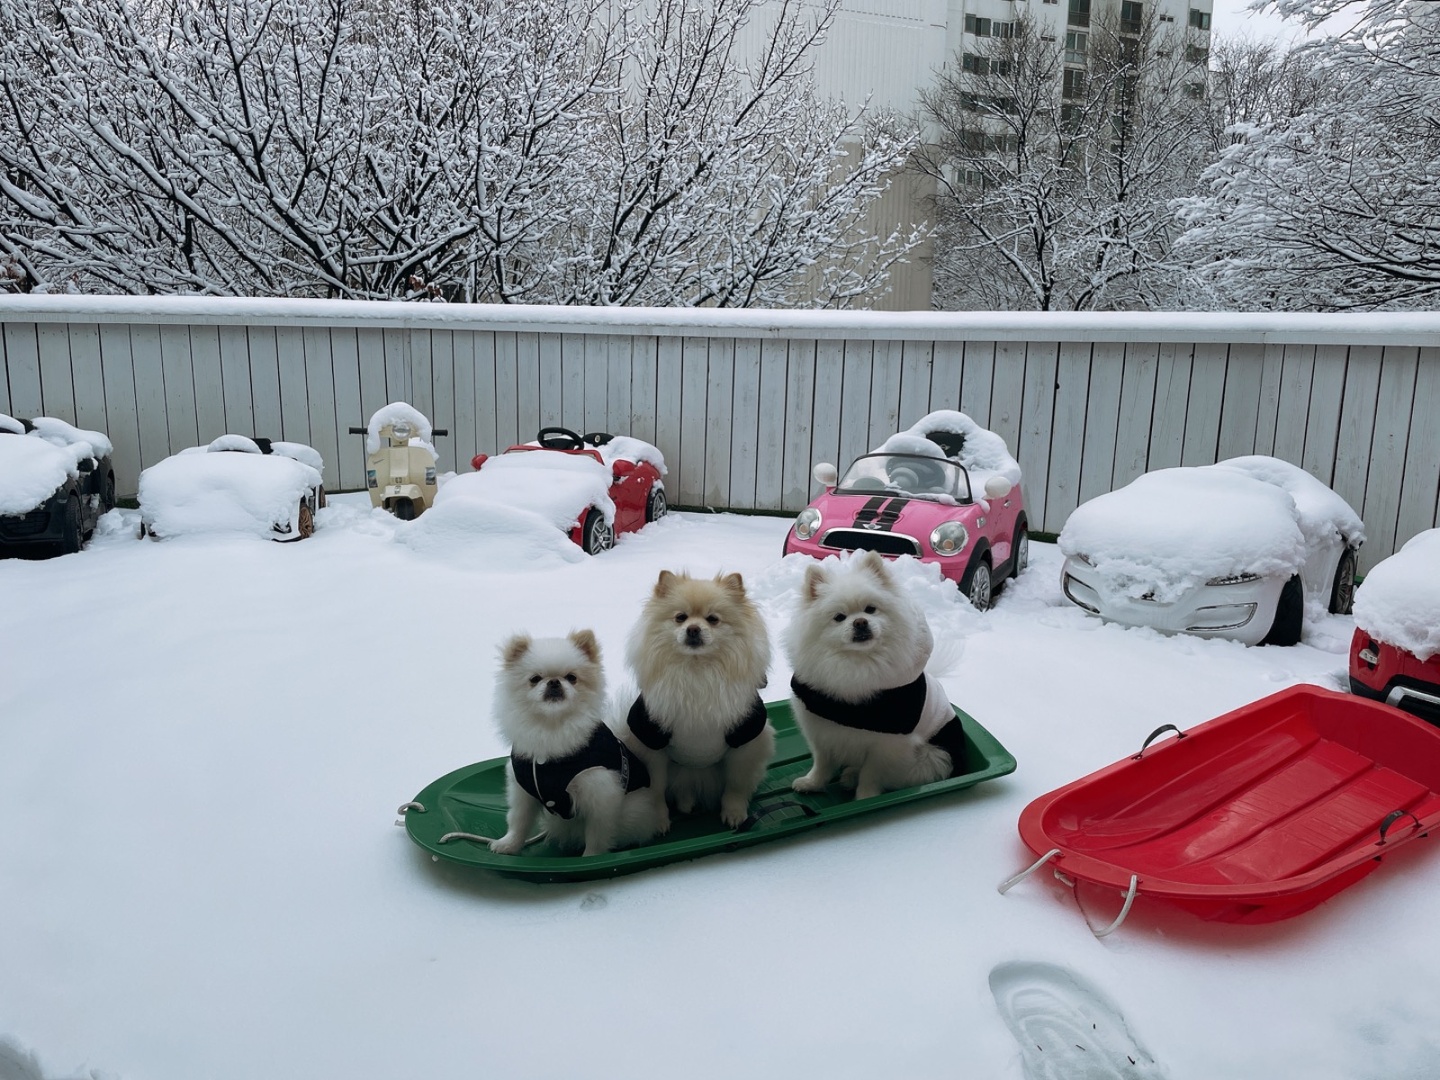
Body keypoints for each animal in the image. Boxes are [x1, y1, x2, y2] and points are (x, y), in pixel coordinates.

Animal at [489, 630, 659, 858]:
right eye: (534, 679)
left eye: (572, 678)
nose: (554, 682)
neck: (553, 727)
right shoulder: (522, 790)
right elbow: (518, 820)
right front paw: (509, 845)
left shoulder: (601, 792)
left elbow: (597, 832)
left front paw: (591, 857)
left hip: (632, 812)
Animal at [622, 570, 777, 835]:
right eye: (680, 618)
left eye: (713, 619)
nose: (693, 629)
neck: (697, 670)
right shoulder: (652, 741)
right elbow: (656, 790)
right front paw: (658, 819)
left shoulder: (744, 739)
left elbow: (735, 784)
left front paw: (734, 813)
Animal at [789, 552, 967, 800]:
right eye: (839, 617)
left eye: (871, 609)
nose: (860, 622)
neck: (858, 664)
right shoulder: (821, 731)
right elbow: (822, 763)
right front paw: (812, 783)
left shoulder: (885, 745)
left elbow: (871, 774)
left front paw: (865, 797)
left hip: (932, 756)